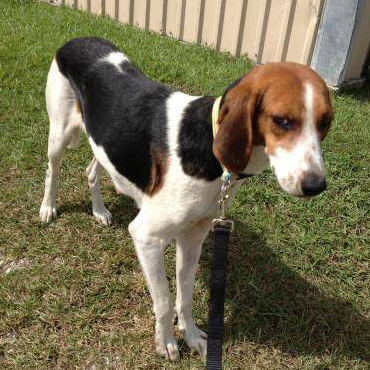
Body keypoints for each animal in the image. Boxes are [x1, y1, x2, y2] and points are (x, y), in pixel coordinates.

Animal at [39, 37, 332, 362]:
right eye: (282, 120)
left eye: (325, 123)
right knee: (52, 170)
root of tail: (76, 40)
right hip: (60, 135)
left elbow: (186, 296)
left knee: (91, 171)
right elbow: (165, 301)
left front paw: (190, 335)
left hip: (105, 142)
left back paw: (100, 211)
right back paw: (48, 207)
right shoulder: (146, 237)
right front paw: (166, 342)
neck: (209, 143)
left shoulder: (194, 236)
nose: (316, 185)